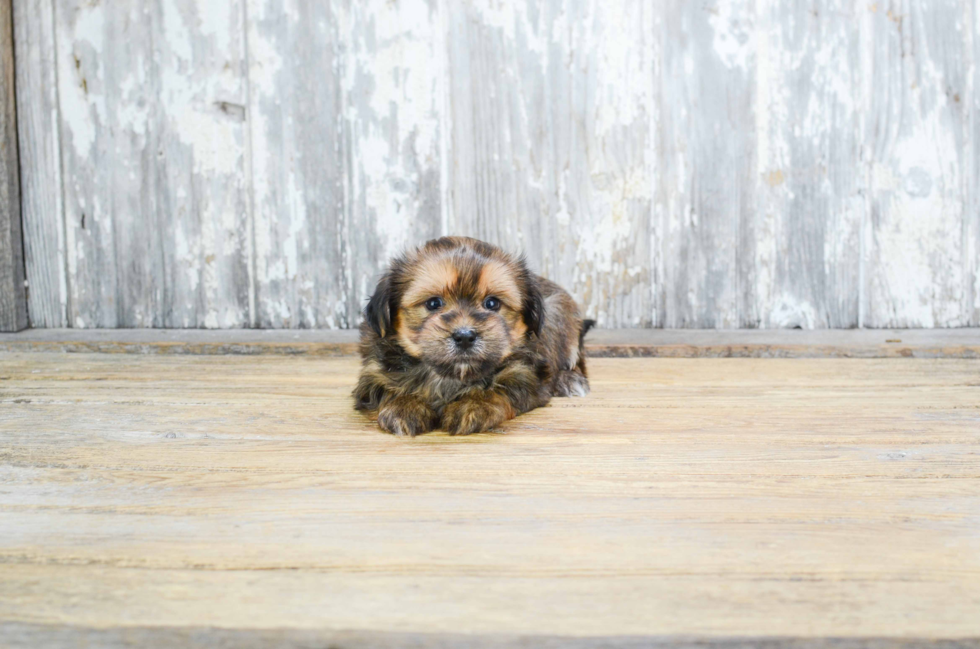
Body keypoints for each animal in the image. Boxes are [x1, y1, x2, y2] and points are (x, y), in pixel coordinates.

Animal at [354, 234, 592, 436]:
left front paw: (474, 404)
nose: (465, 336)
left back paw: (569, 380)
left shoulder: (526, 372)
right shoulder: (373, 372)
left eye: (492, 303)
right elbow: (385, 388)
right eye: (433, 303)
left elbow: (502, 388)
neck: (451, 376)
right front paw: (405, 405)